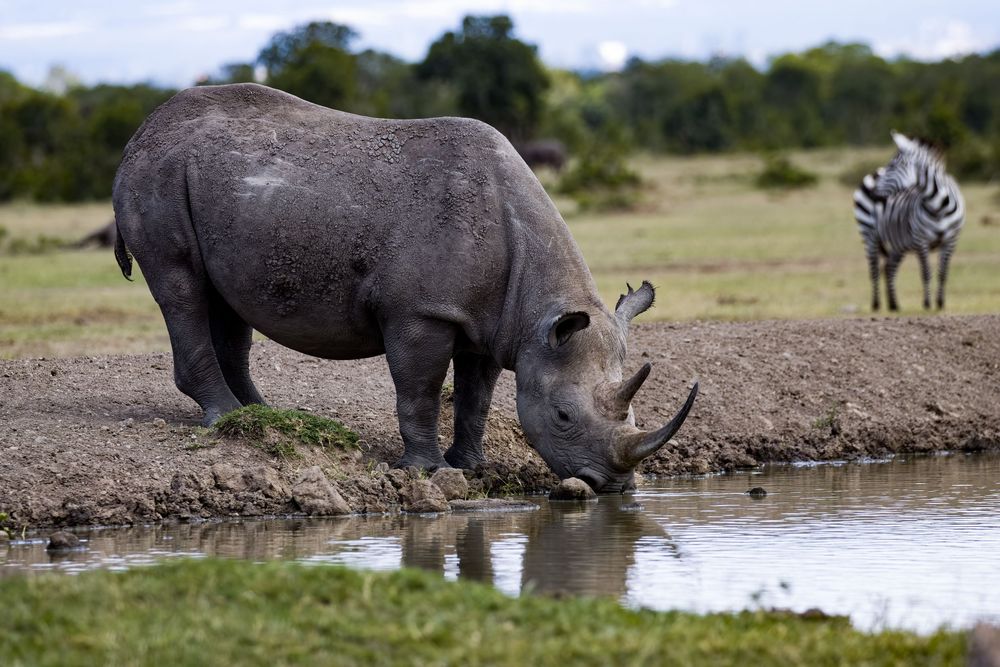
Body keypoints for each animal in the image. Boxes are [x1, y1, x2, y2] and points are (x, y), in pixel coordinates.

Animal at [113, 83, 697, 492]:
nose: (613, 486)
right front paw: (427, 472)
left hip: (221, 191)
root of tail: (140, 132)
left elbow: (476, 397)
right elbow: (419, 389)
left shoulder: (494, 321)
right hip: (157, 175)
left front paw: (473, 468)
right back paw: (225, 418)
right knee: (182, 286)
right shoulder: (421, 311)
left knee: (226, 301)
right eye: (563, 417)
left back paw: (265, 417)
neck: (537, 314)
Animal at [854, 131, 965, 311]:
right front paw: (927, 303)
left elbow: (943, 272)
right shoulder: (921, 240)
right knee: (875, 269)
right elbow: (926, 272)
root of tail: (875, 172)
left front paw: (940, 303)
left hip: (898, 241)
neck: (939, 207)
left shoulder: (951, 240)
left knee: (889, 267)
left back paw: (894, 305)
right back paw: (876, 304)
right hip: (868, 233)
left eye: (892, 166)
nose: (872, 193)